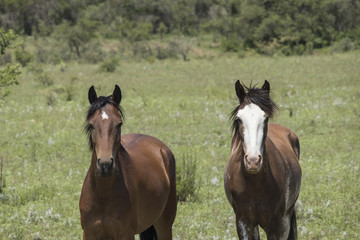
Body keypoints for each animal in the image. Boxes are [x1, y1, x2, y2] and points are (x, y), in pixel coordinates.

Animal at [79, 85, 176, 239]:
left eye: (119, 124)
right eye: (91, 124)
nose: (105, 165)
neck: (103, 195)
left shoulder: (126, 234)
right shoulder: (89, 234)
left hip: (164, 224)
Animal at [224, 80, 302, 240]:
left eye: (265, 118)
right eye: (238, 119)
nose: (253, 161)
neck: (255, 184)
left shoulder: (275, 224)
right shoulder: (243, 222)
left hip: (286, 217)